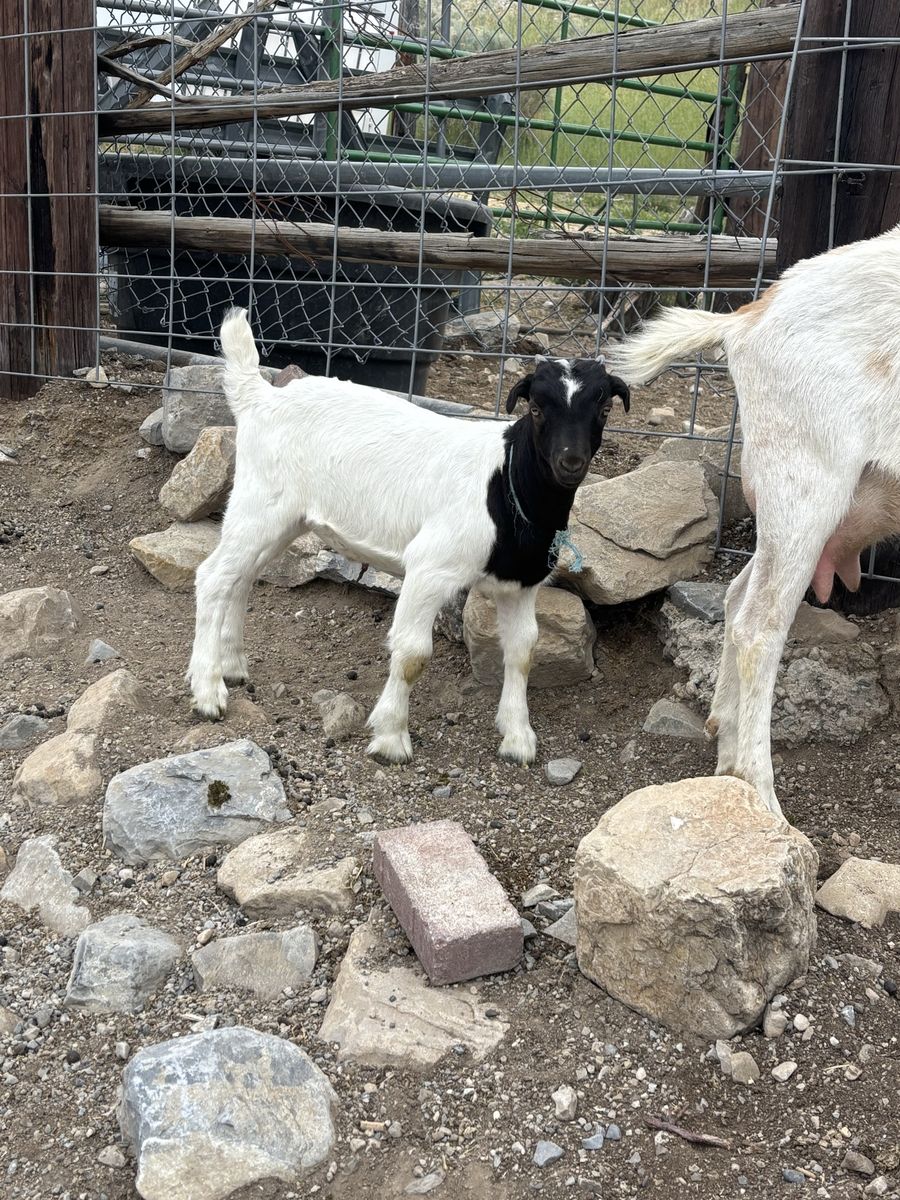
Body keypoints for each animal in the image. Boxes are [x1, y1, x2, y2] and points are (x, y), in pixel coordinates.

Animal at [188, 309, 629, 765]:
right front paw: (391, 738)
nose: (570, 462)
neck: (506, 481)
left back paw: (233, 666)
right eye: (538, 409)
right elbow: (414, 654)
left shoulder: (520, 584)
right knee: (214, 577)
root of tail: (259, 396)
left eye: (604, 408)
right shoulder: (430, 566)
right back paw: (208, 692)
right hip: (259, 504)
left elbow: (523, 652)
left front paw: (518, 737)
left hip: (283, 519)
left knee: (241, 579)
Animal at [613, 224, 900, 818]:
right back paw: (764, 798)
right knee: (759, 625)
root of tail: (747, 319)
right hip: (805, 485)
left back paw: (724, 747)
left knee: (735, 596)